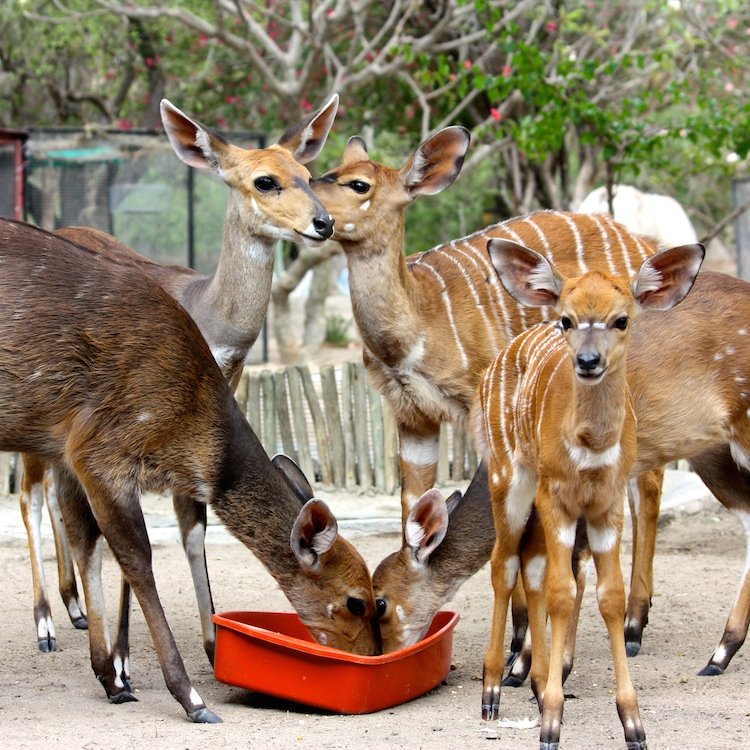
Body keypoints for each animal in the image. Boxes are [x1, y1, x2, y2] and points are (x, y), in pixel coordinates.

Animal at [0, 218, 380, 722]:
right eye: (357, 601)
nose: (374, 657)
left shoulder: (73, 455)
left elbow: (91, 543)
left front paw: (111, 675)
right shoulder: (99, 451)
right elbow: (137, 558)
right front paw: (188, 697)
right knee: (30, 498)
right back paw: (47, 626)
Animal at [19, 94, 338, 658]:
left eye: (307, 174)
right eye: (265, 181)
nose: (323, 223)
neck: (204, 311)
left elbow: (193, 526)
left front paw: (213, 643)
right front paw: (126, 652)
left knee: (54, 493)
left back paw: (75, 608)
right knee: (29, 494)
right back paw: (46, 625)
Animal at [472, 238, 703, 748]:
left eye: (622, 320)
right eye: (567, 319)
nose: (588, 361)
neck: (591, 445)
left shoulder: (605, 507)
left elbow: (609, 596)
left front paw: (633, 724)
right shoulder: (556, 498)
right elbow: (562, 592)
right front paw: (552, 725)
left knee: (530, 567)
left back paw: (537, 683)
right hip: (509, 479)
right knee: (504, 563)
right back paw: (493, 689)